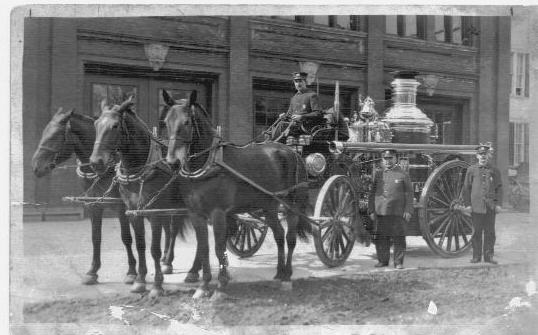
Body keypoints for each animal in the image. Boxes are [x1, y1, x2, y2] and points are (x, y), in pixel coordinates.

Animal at [30, 107, 137, 286]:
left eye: (55, 136)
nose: (36, 167)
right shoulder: (93, 205)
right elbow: (96, 237)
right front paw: (92, 272)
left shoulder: (122, 207)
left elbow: (126, 237)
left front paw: (131, 272)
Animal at [90, 98, 197, 298]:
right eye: (96, 124)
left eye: (115, 125)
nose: (95, 162)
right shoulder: (134, 212)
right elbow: (140, 245)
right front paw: (140, 280)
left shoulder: (154, 213)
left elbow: (154, 248)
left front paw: (157, 285)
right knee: (175, 230)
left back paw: (192, 270)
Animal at [160, 90, 310, 296]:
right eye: (166, 122)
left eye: (187, 122)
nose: (172, 162)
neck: (208, 164)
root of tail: (292, 152)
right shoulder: (196, 214)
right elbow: (204, 248)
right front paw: (203, 286)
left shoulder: (218, 213)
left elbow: (218, 247)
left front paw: (221, 284)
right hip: (269, 206)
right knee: (279, 235)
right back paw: (279, 273)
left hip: (292, 205)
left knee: (290, 238)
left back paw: (287, 275)